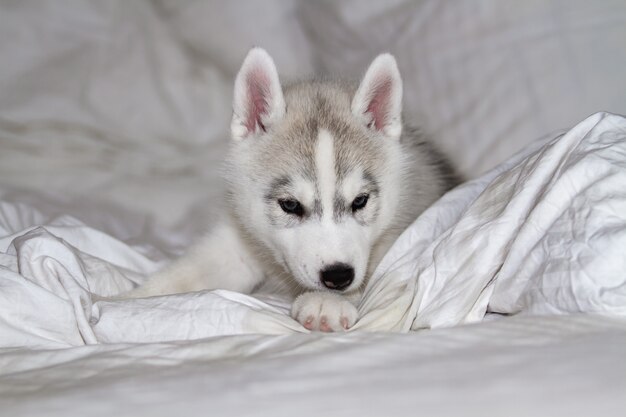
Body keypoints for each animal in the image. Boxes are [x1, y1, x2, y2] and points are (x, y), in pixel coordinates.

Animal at [128, 46, 458, 332]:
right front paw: (129, 301)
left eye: (360, 201)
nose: (338, 276)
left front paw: (327, 302)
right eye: (290, 205)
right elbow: (188, 274)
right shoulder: (239, 242)